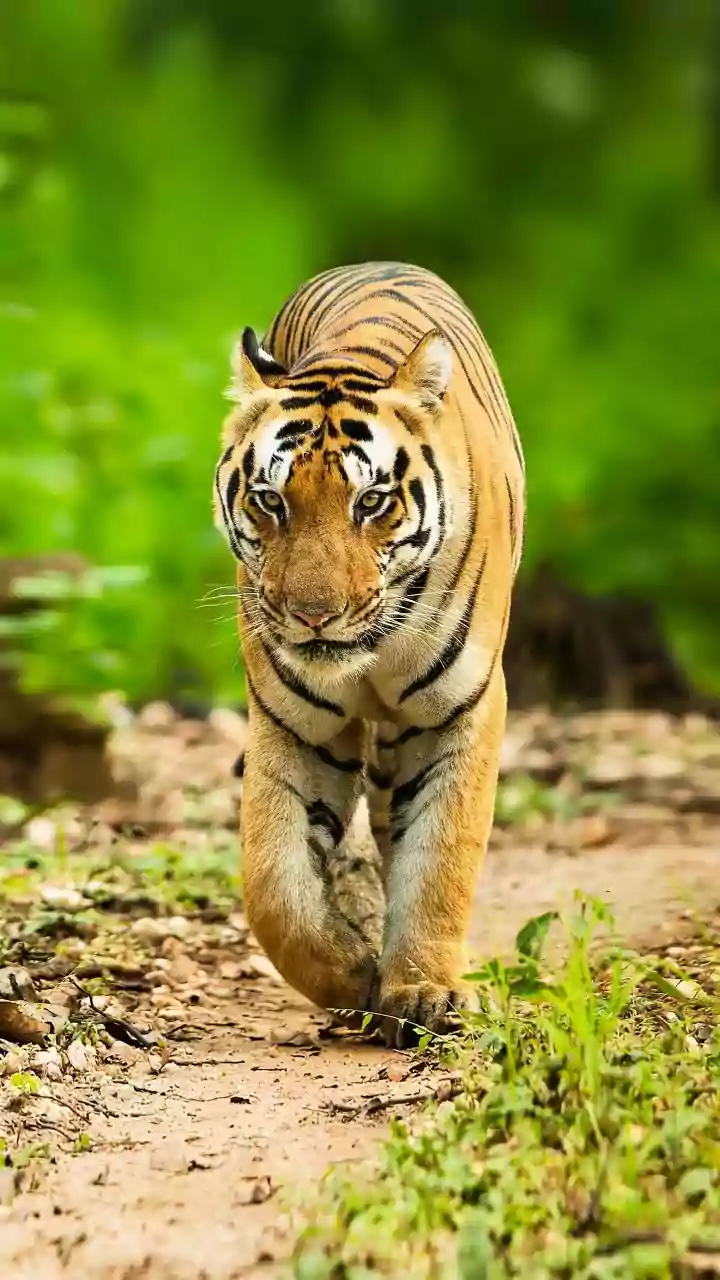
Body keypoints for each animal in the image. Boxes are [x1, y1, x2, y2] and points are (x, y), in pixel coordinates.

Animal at [214, 262, 524, 1046]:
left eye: (372, 501)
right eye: (270, 500)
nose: (312, 615)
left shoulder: (461, 711)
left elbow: (442, 856)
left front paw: (422, 990)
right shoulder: (294, 725)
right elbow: (274, 885)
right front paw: (352, 976)